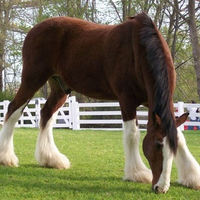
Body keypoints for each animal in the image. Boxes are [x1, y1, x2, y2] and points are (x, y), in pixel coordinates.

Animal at [0, 12, 200, 192]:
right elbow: (132, 135)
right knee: (13, 110)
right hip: (32, 79)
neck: (139, 50)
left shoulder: (152, 104)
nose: (161, 188)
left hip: (60, 88)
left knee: (46, 114)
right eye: (158, 145)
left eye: (172, 150)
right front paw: (137, 173)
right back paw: (6, 157)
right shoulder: (127, 100)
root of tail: (35, 29)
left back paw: (51, 159)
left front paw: (192, 177)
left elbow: (180, 137)